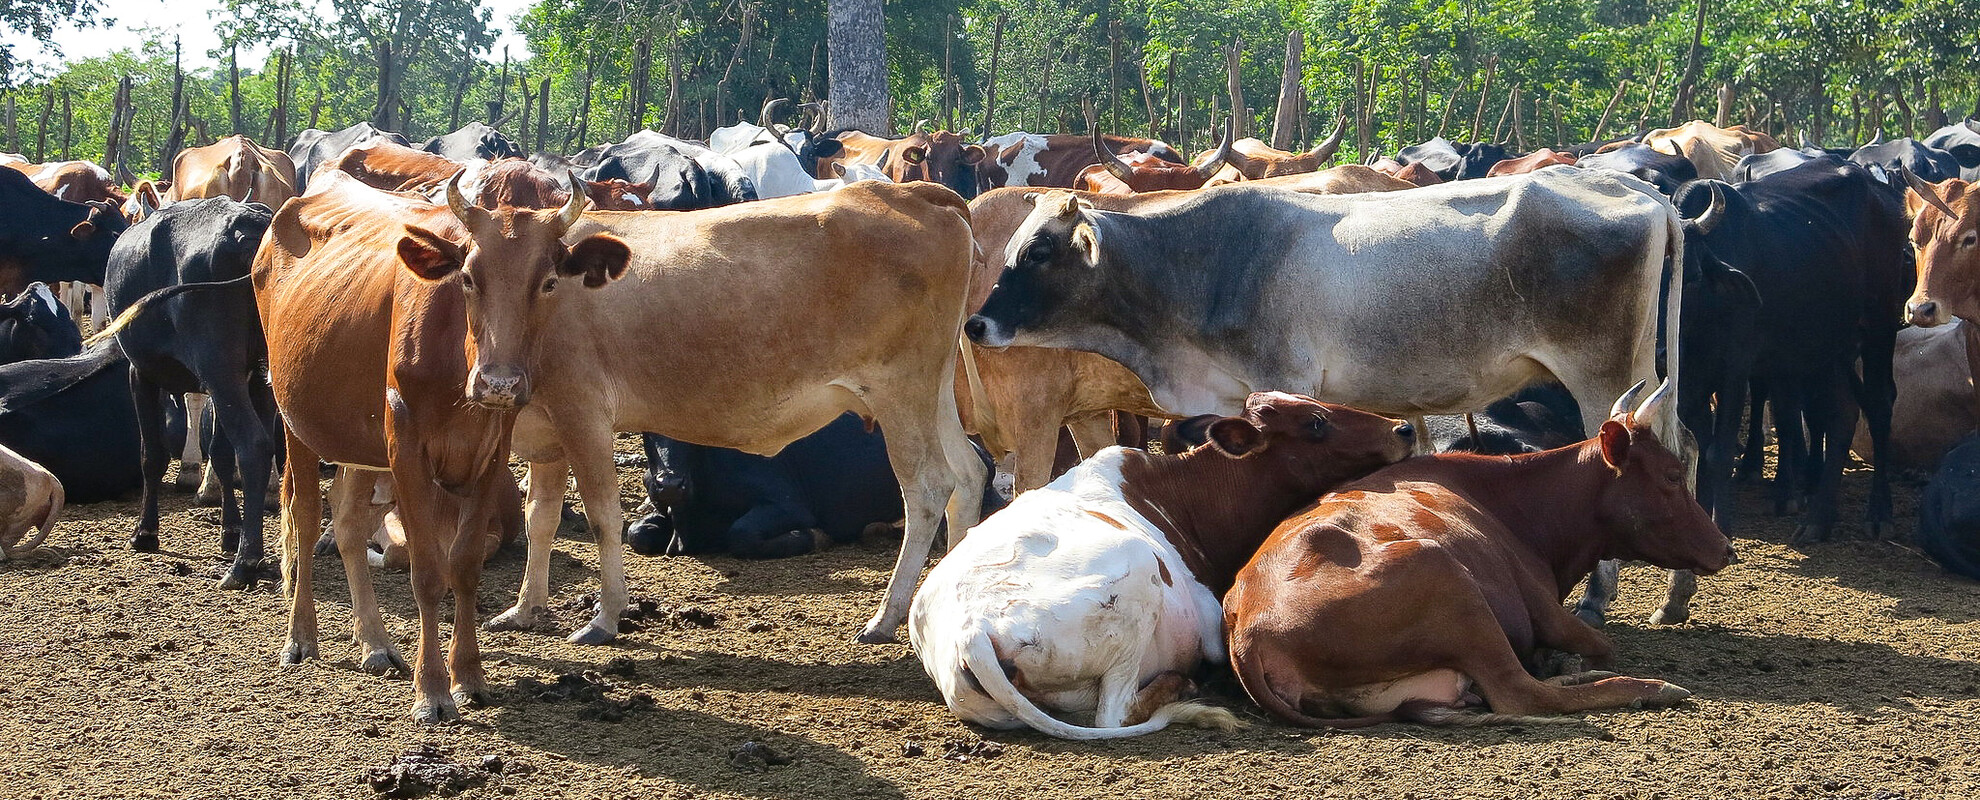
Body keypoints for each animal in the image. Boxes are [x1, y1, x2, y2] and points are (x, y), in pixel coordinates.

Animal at [910, 392, 1425, 736]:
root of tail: (972, 630)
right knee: (1114, 714)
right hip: (1138, 579)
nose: (1403, 429)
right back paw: (1182, 687)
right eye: (1316, 422)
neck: (1179, 496)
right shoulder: (1211, 627)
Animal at [1679, 165, 1908, 546]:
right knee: (1841, 413)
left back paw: (1879, 514)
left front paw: (1722, 529)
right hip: (1829, 349)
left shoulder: (1735, 369)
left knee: (1878, 405)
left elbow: (1719, 452)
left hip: (1880, 326)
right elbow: (1699, 448)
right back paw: (1819, 519)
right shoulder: (1687, 381)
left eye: (1692, 277)